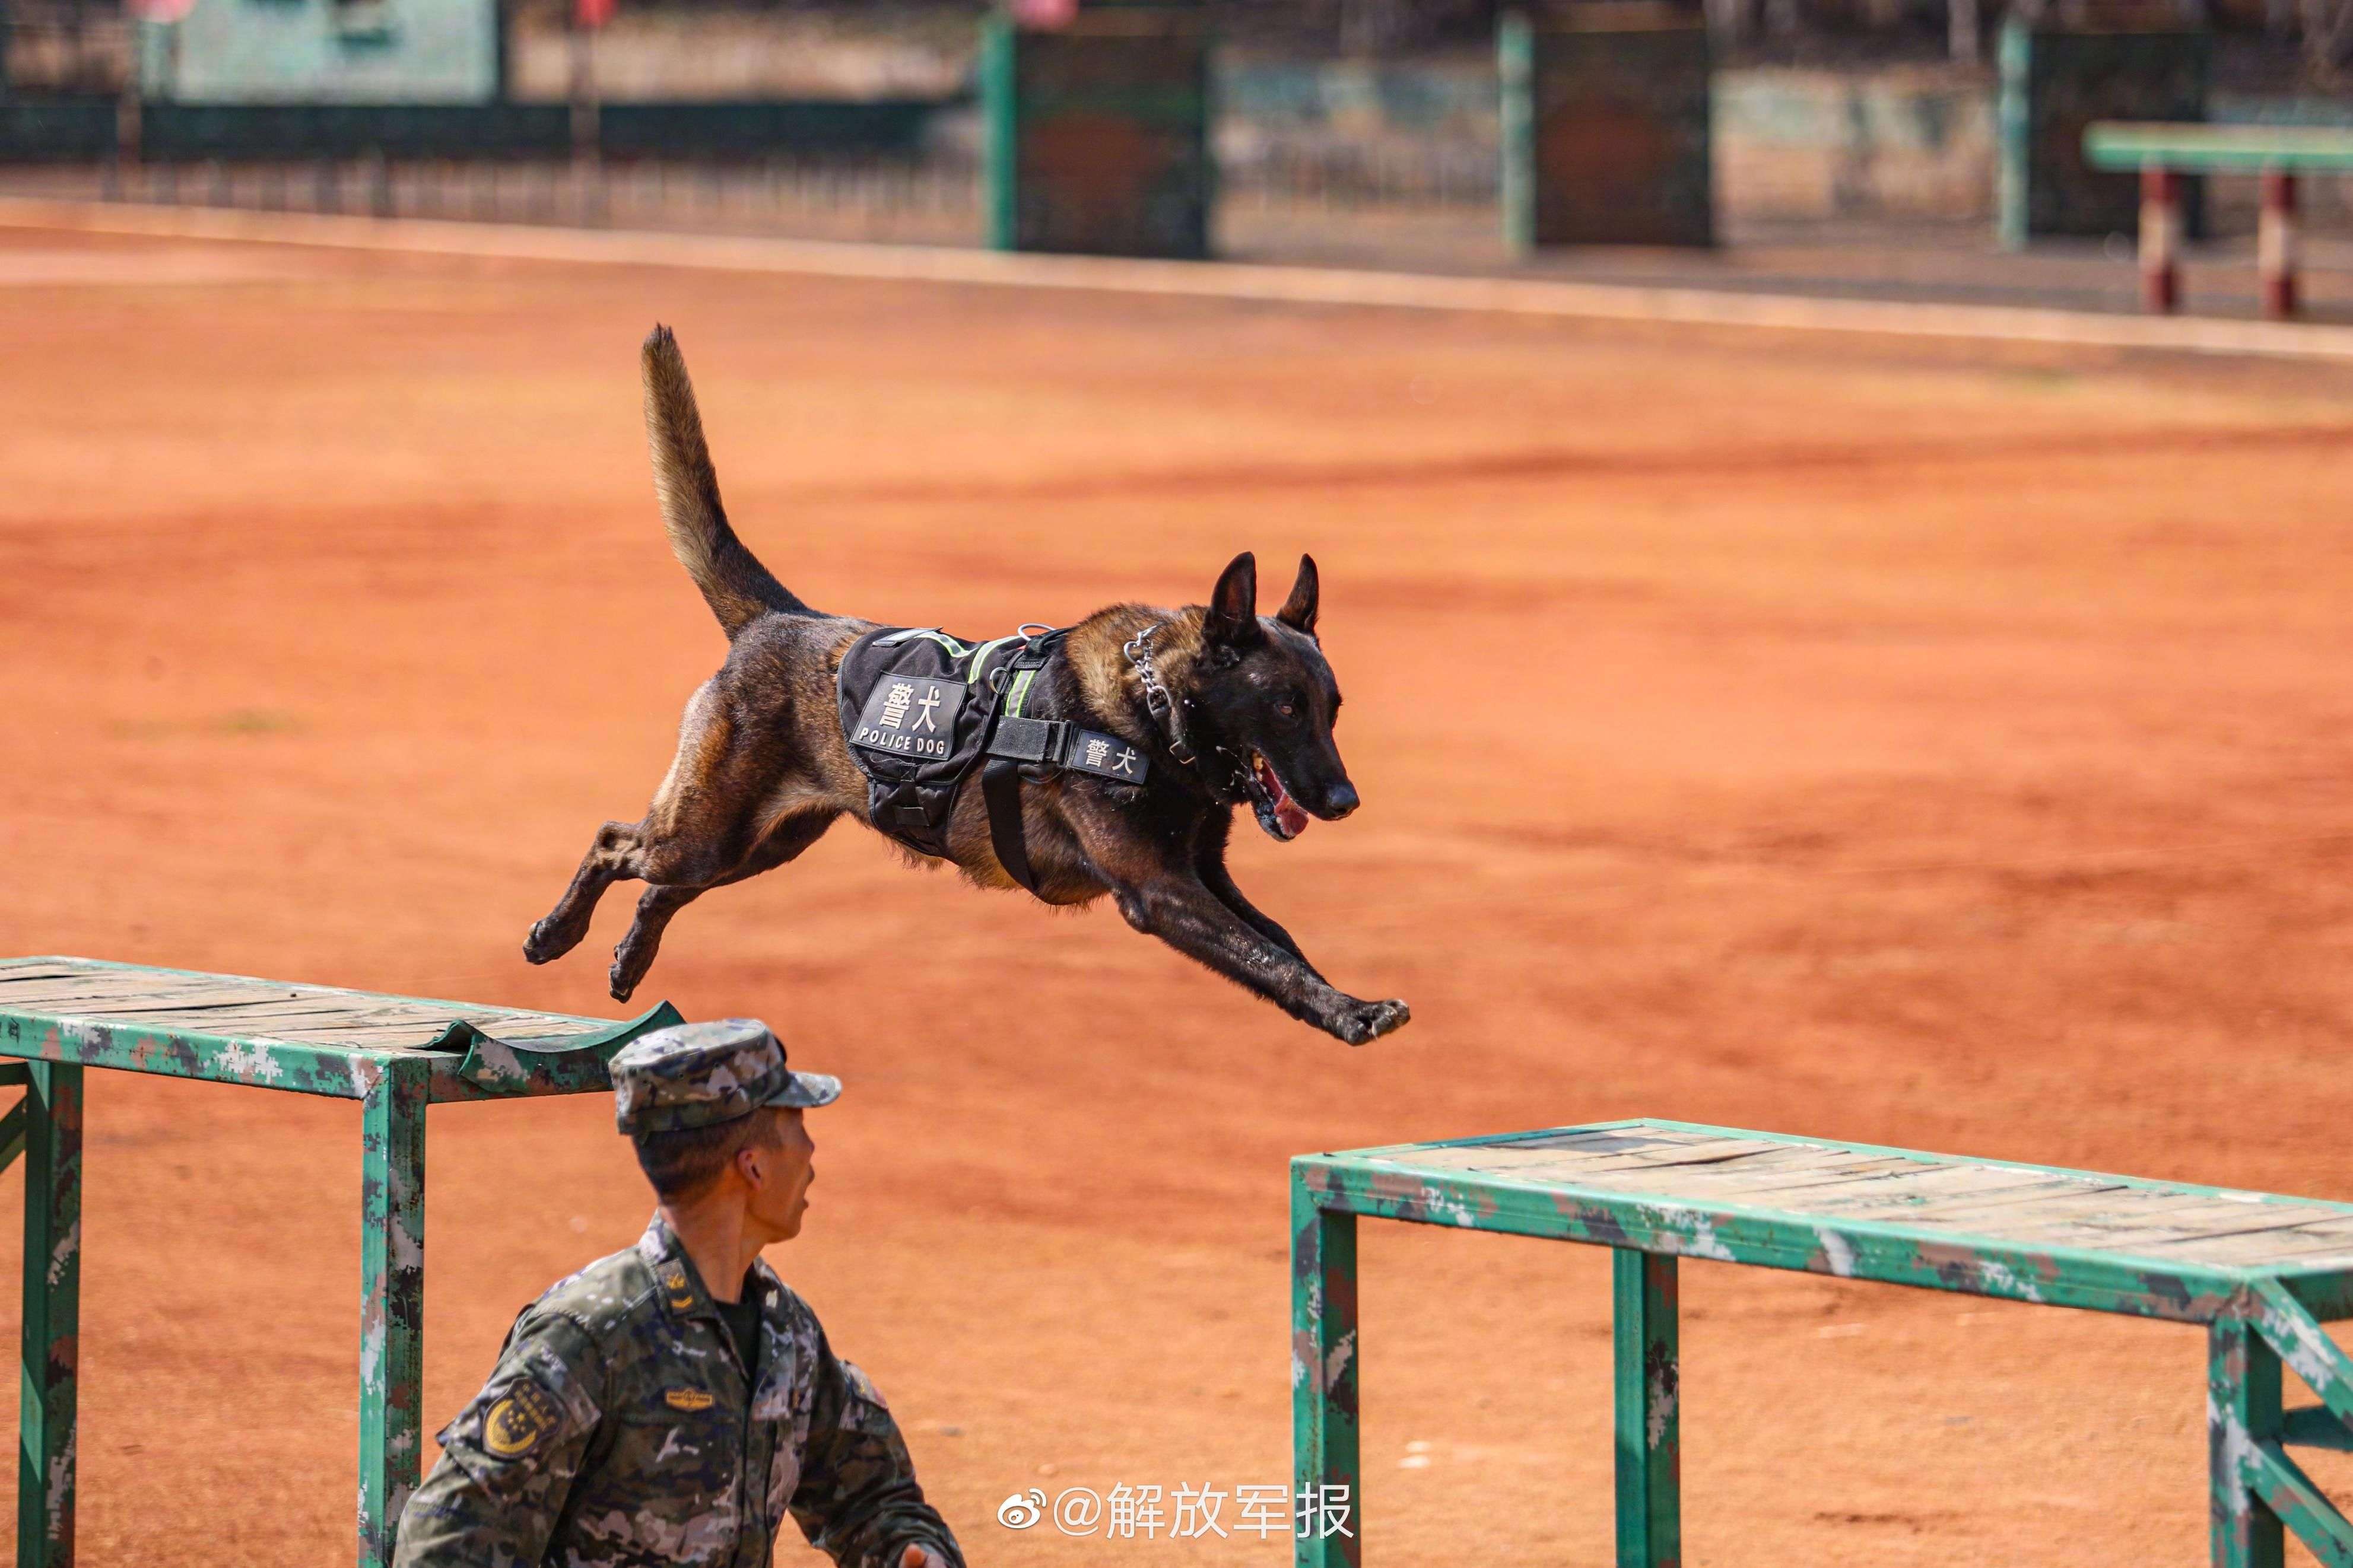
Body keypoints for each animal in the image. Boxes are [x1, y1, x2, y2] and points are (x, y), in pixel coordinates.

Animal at [525, 326, 1402, 1048]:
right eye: (1284, 707)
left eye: (1331, 710)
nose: (1345, 800)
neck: (1149, 713)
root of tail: (780, 618)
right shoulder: (1162, 889)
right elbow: (1262, 954)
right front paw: (1350, 1013)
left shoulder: (1206, 877)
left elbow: (1279, 939)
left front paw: (1344, 1002)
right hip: (711, 830)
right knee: (616, 842)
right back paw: (555, 933)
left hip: (762, 842)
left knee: (660, 888)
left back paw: (629, 959)